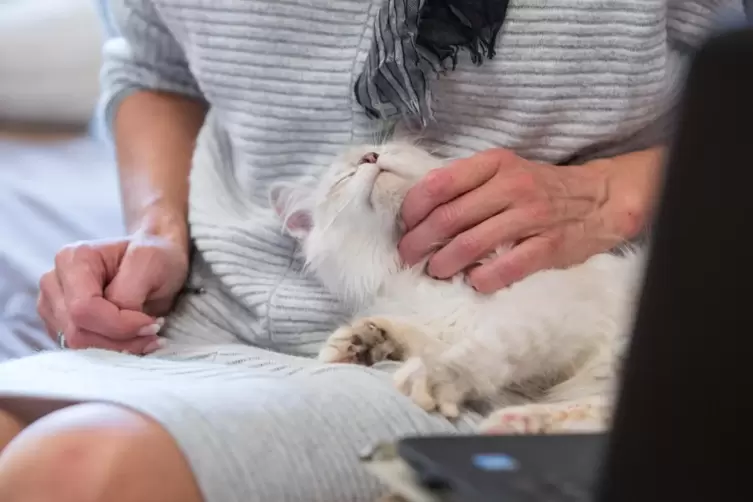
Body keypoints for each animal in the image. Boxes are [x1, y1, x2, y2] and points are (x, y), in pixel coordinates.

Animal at [268, 143, 644, 434]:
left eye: (386, 147)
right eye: (343, 178)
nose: (371, 157)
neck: (418, 273)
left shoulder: (549, 313)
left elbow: (481, 350)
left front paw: (434, 378)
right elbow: (427, 341)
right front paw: (363, 342)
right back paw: (516, 424)